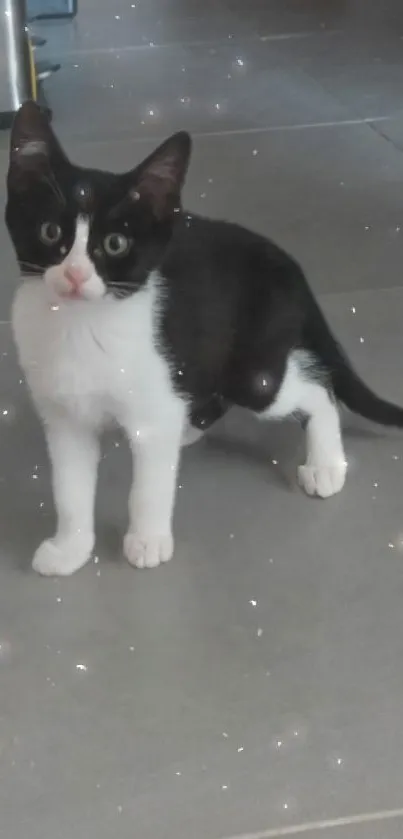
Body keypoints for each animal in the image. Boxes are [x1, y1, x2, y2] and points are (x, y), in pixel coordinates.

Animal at [5, 98, 403, 576]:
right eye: (50, 232)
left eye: (116, 243)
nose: (75, 275)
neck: (81, 325)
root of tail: (287, 260)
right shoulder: (65, 418)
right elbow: (69, 488)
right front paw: (70, 549)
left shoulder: (152, 397)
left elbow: (148, 487)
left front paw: (147, 540)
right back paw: (188, 429)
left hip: (253, 370)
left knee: (314, 387)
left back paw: (326, 465)